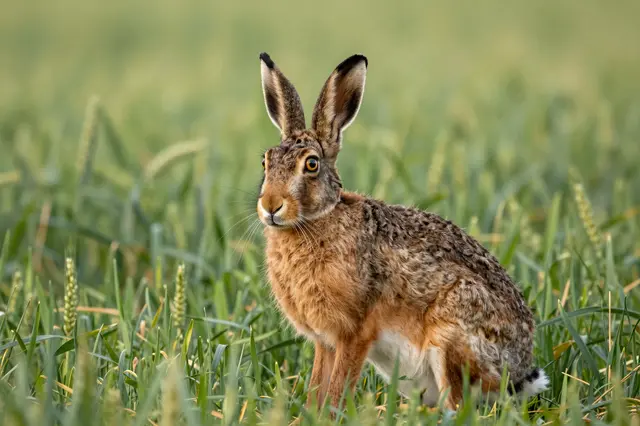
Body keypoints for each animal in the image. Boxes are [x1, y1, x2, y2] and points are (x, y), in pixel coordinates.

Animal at [256, 52, 548, 413]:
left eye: (311, 165)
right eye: (265, 162)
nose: (271, 206)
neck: (318, 219)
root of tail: (519, 377)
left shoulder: (356, 332)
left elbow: (338, 387)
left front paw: (330, 414)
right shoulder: (325, 342)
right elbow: (317, 388)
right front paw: (309, 415)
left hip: (450, 337)